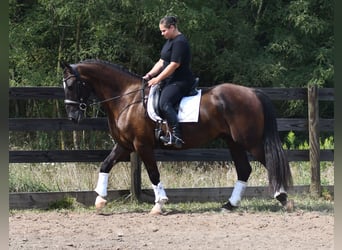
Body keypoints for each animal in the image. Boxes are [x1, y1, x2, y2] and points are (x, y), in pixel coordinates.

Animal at [60, 59, 292, 214]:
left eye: (71, 86)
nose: (72, 116)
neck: (127, 98)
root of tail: (253, 92)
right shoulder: (124, 145)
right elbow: (105, 164)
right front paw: (100, 200)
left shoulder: (142, 145)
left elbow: (153, 173)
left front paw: (159, 203)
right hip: (233, 142)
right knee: (244, 169)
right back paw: (229, 205)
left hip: (250, 142)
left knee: (269, 162)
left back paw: (284, 199)